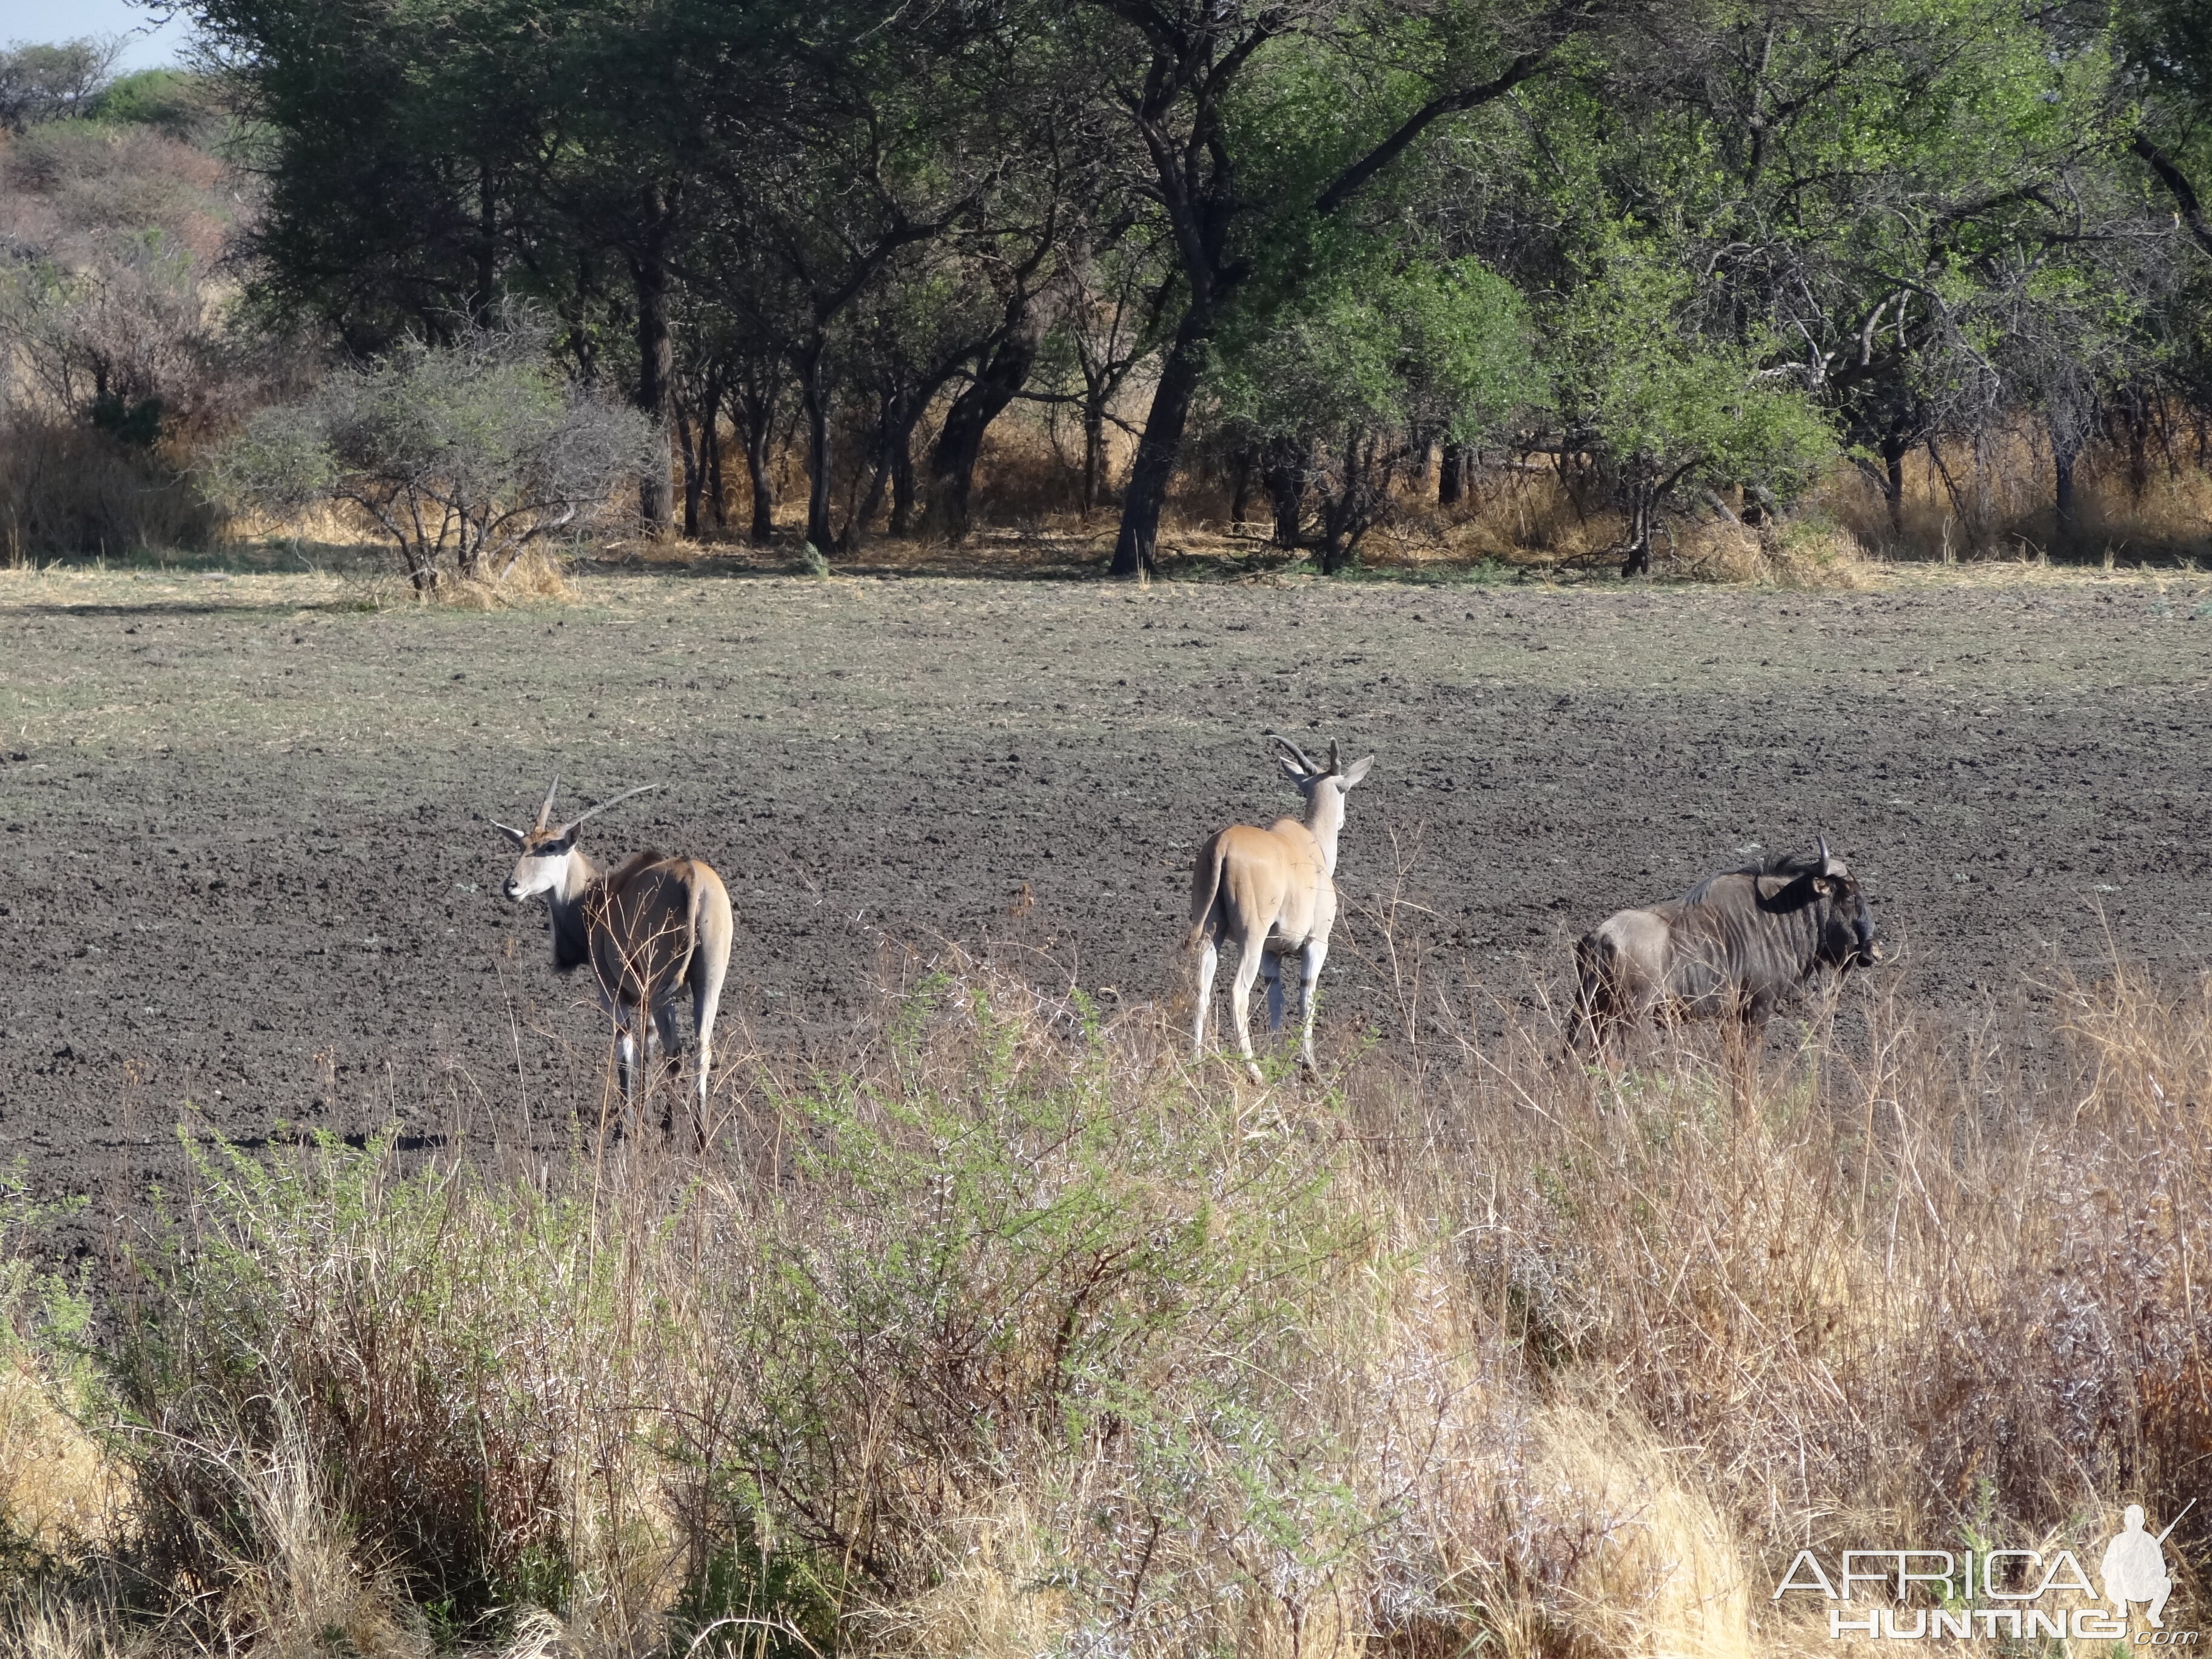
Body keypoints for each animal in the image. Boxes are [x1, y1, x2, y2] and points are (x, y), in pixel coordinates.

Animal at [493, 787, 734, 1141]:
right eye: (522, 846)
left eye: (550, 847)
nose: (511, 886)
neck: (599, 893)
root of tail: (691, 876)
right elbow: (651, 1046)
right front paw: (645, 1119)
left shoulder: (612, 991)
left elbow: (626, 1050)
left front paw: (627, 1126)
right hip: (706, 983)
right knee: (699, 1049)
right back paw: (699, 1136)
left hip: (658, 987)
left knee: (671, 1049)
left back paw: (668, 1129)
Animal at [1194, 739, 1362, 1079]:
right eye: (1344, 788)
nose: (1343, 820)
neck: (1311, 846)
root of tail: (1223, 844)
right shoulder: (1316, 943)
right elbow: (1306, 996)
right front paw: (1309, 1066)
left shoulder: (1273, 954)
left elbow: (1277, 999)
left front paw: (1277, 1056)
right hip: (1252, 938)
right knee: (1238, 991)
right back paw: (1253, 1071)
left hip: (1211, 933)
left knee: (1201, 987)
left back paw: (1194, 1061)